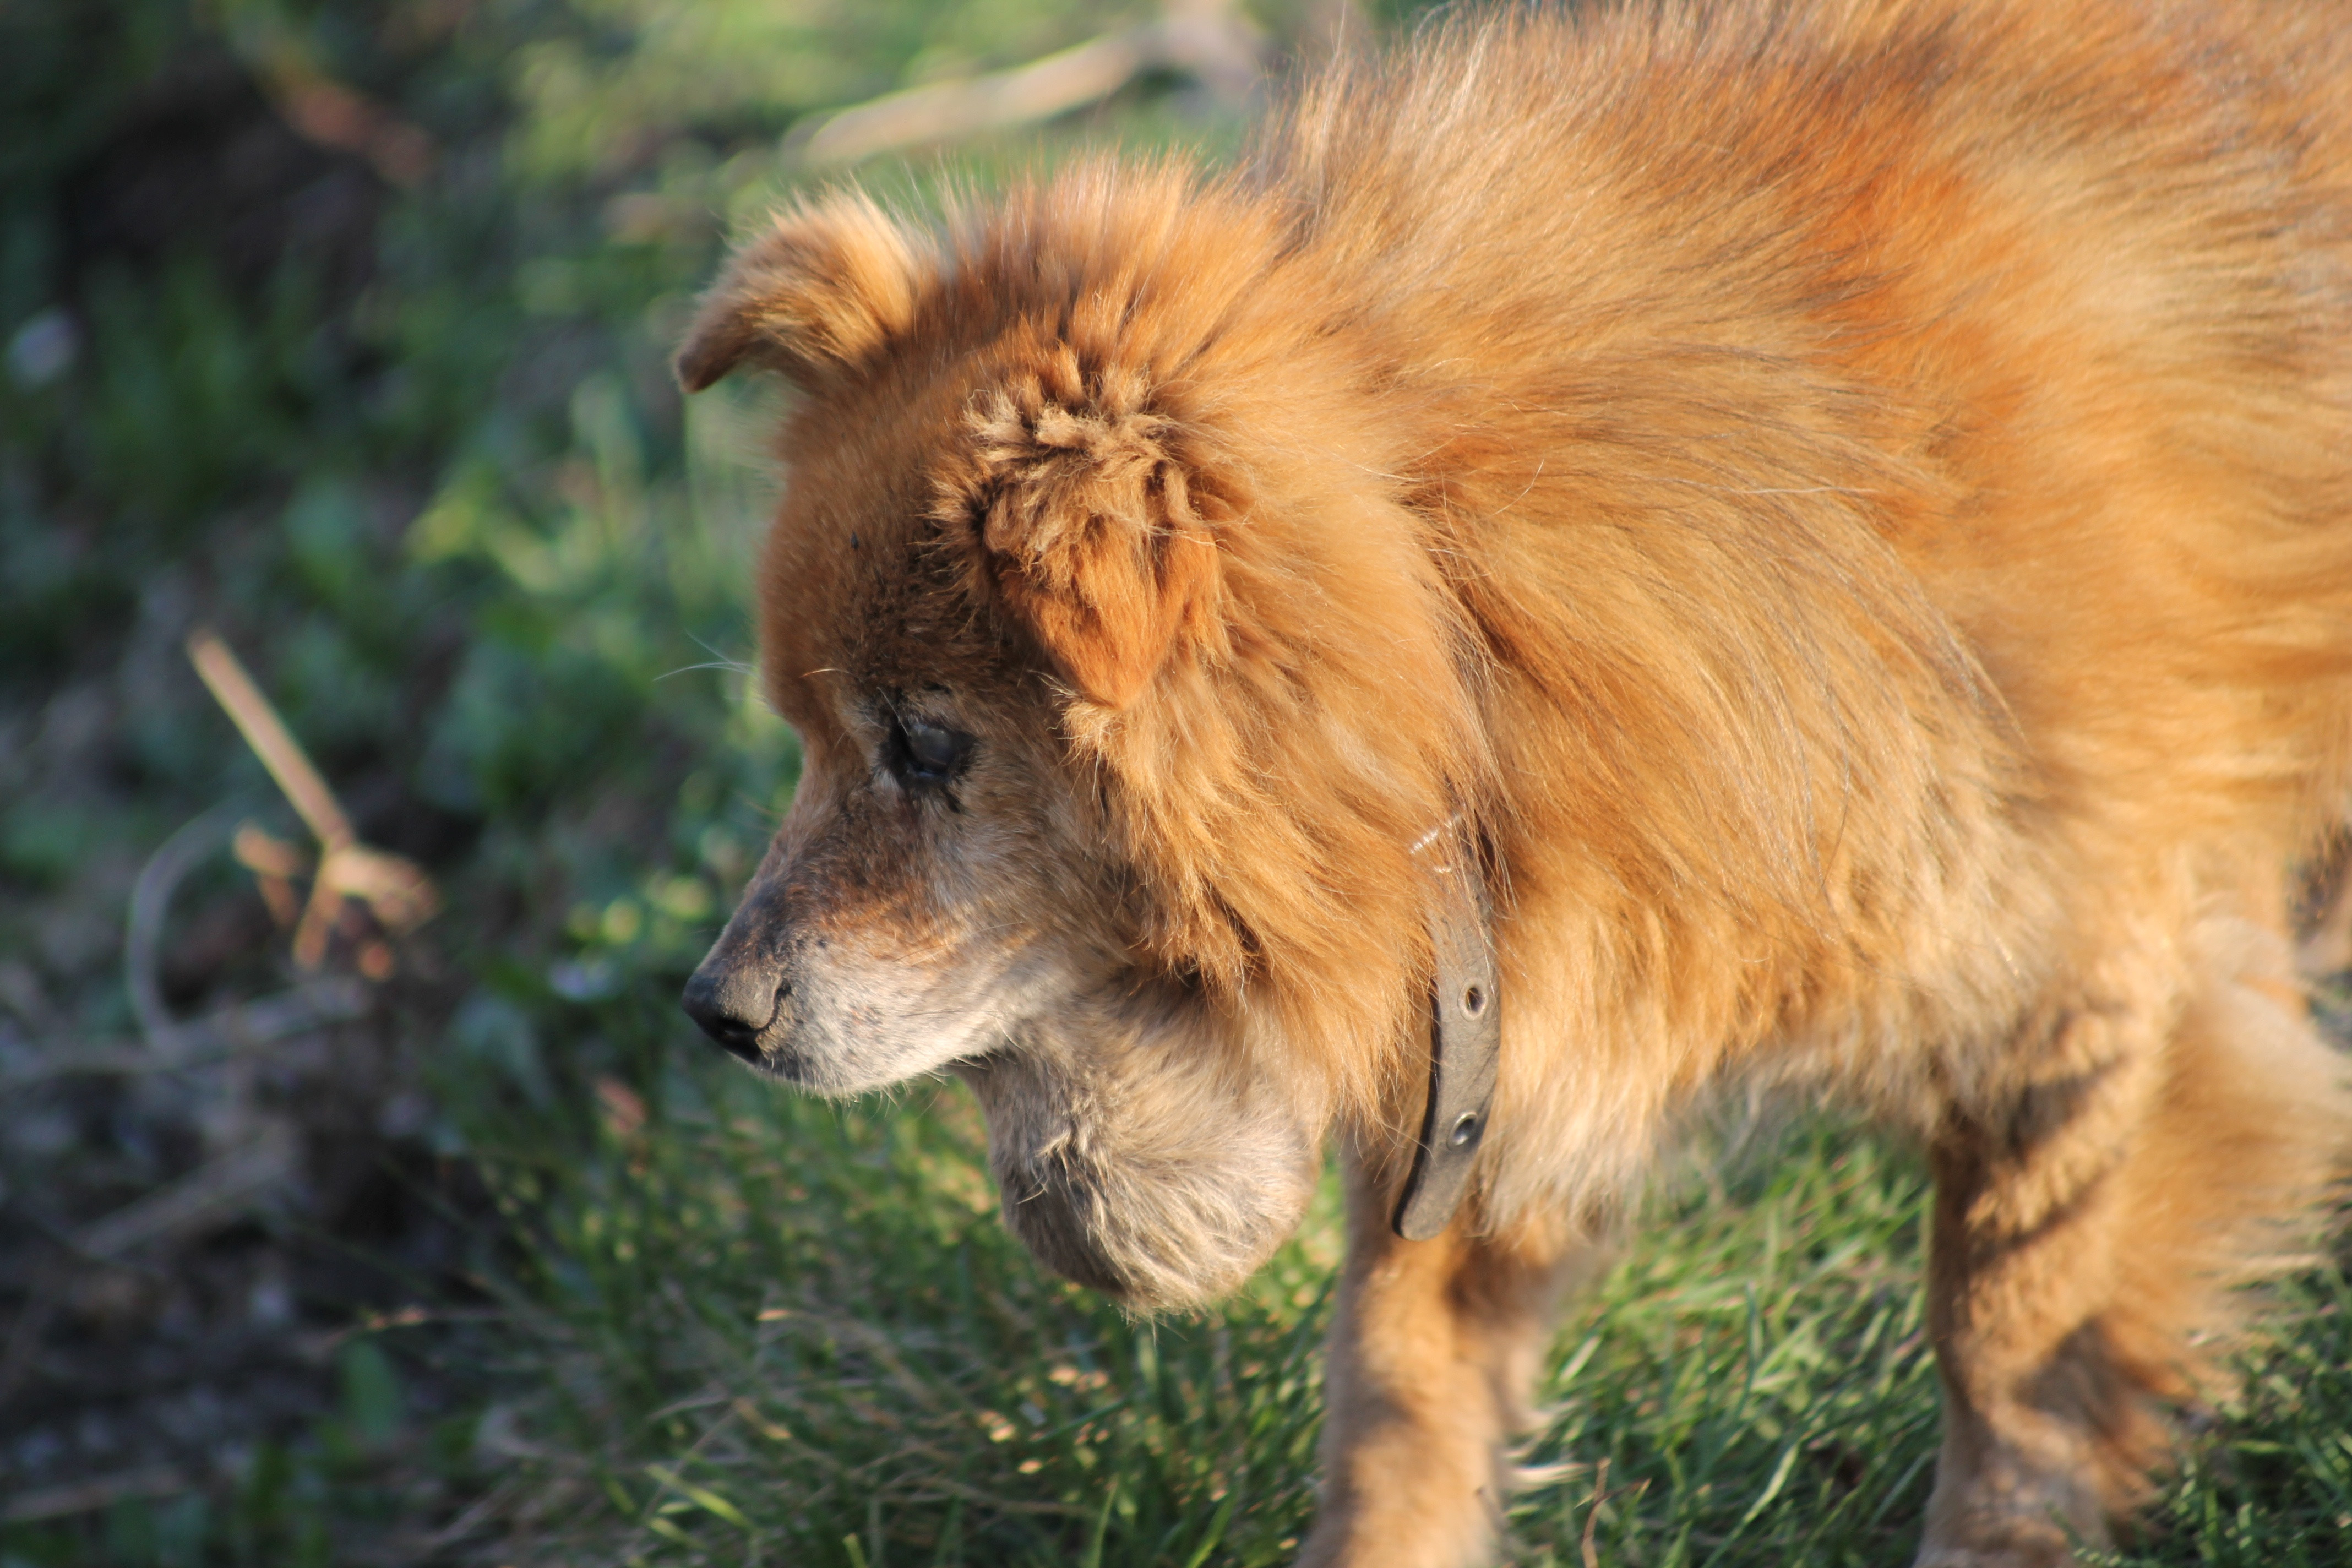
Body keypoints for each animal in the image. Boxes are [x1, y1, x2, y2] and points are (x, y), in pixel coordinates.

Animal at [672, 6, 2352, 1561]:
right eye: (809, 736)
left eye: (925, 743)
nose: (714, 1011)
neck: (1472, 603)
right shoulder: (1509, 1020)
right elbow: (1395, 1381)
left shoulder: (2090, 1001)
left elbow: (2011, 1338)